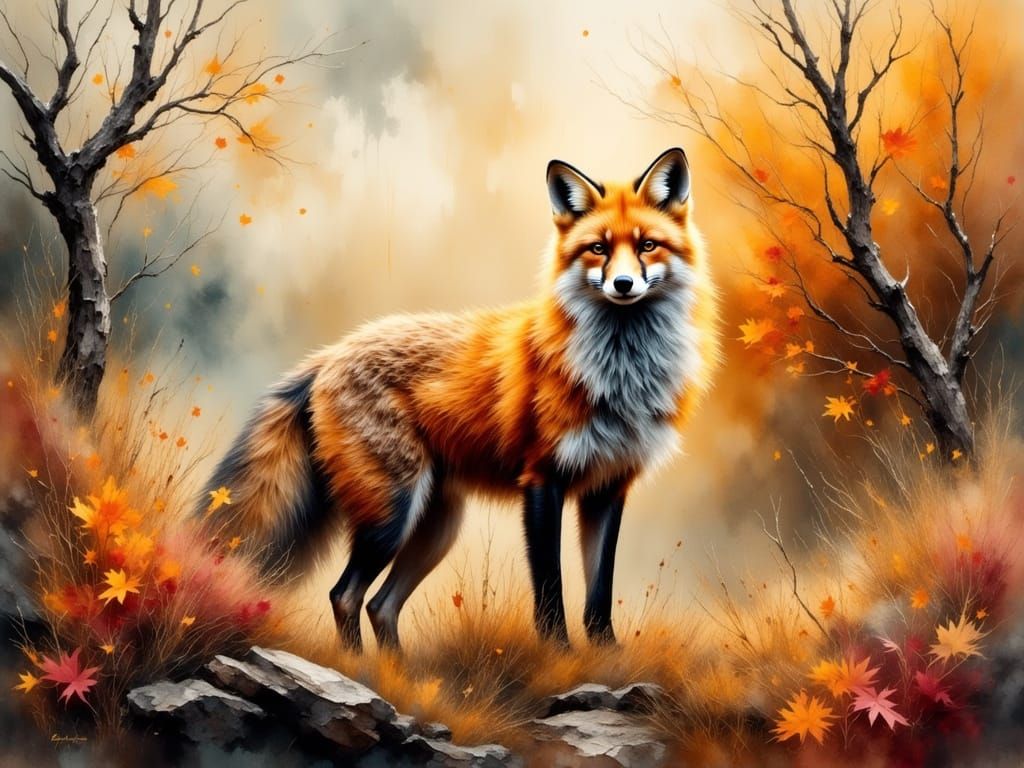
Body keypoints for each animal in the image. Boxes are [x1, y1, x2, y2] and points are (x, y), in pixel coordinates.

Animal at [199, 147, 719, 652]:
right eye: (598, 249)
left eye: (647, 245)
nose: (623, 285)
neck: (619, 376)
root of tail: (330, 353)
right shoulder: (543, 480)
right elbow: (550, 587)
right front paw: (560, 654)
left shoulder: (607, 488)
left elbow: (599, 593)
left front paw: (605, 654)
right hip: (392, 513)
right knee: (345, 595)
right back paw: (363, 668)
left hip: (436, 529)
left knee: (381, 605)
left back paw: (402, 674)